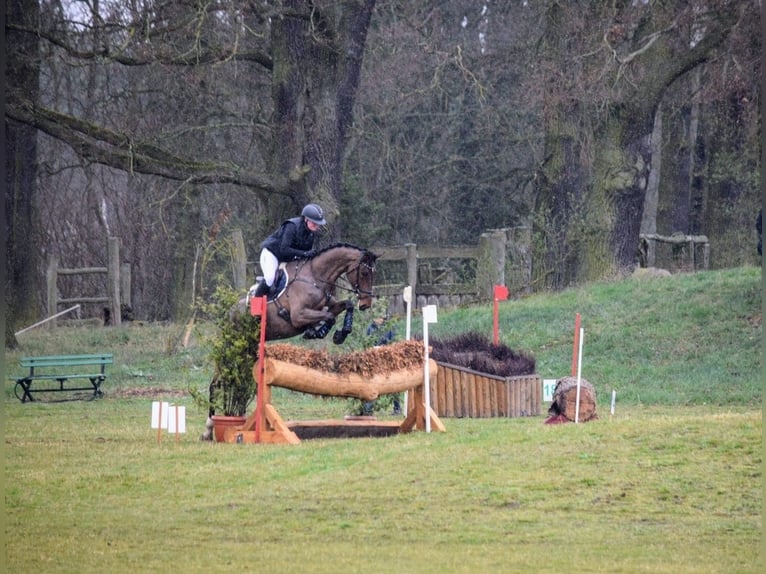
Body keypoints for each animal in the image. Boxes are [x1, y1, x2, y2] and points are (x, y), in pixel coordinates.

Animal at [236, 243, 378, 344]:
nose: (366, 303)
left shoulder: (327, 305)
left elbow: (346, 306)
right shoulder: (298, 315)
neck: (314, 277)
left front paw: (340, 335)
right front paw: (318, 332)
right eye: (364, 273)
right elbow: (330, 316)